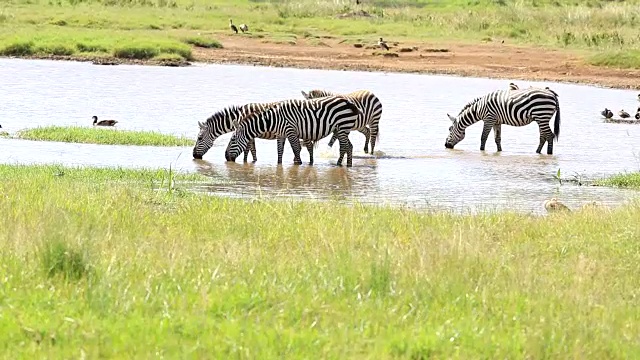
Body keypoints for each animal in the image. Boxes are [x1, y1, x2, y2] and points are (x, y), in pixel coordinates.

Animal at [226, 95, 360, 166]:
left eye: (232, 140)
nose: (226, 157)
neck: (273, 120)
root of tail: (348, 101)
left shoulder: (290, 130)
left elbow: (296, 149)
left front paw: (298, 164)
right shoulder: (281, 134)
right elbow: (280, 151)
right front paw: (279, 165)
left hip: (342, 127)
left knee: (344, 146)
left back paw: (339, 164)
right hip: (342, 129)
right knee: (349, 146)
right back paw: (348, 165)